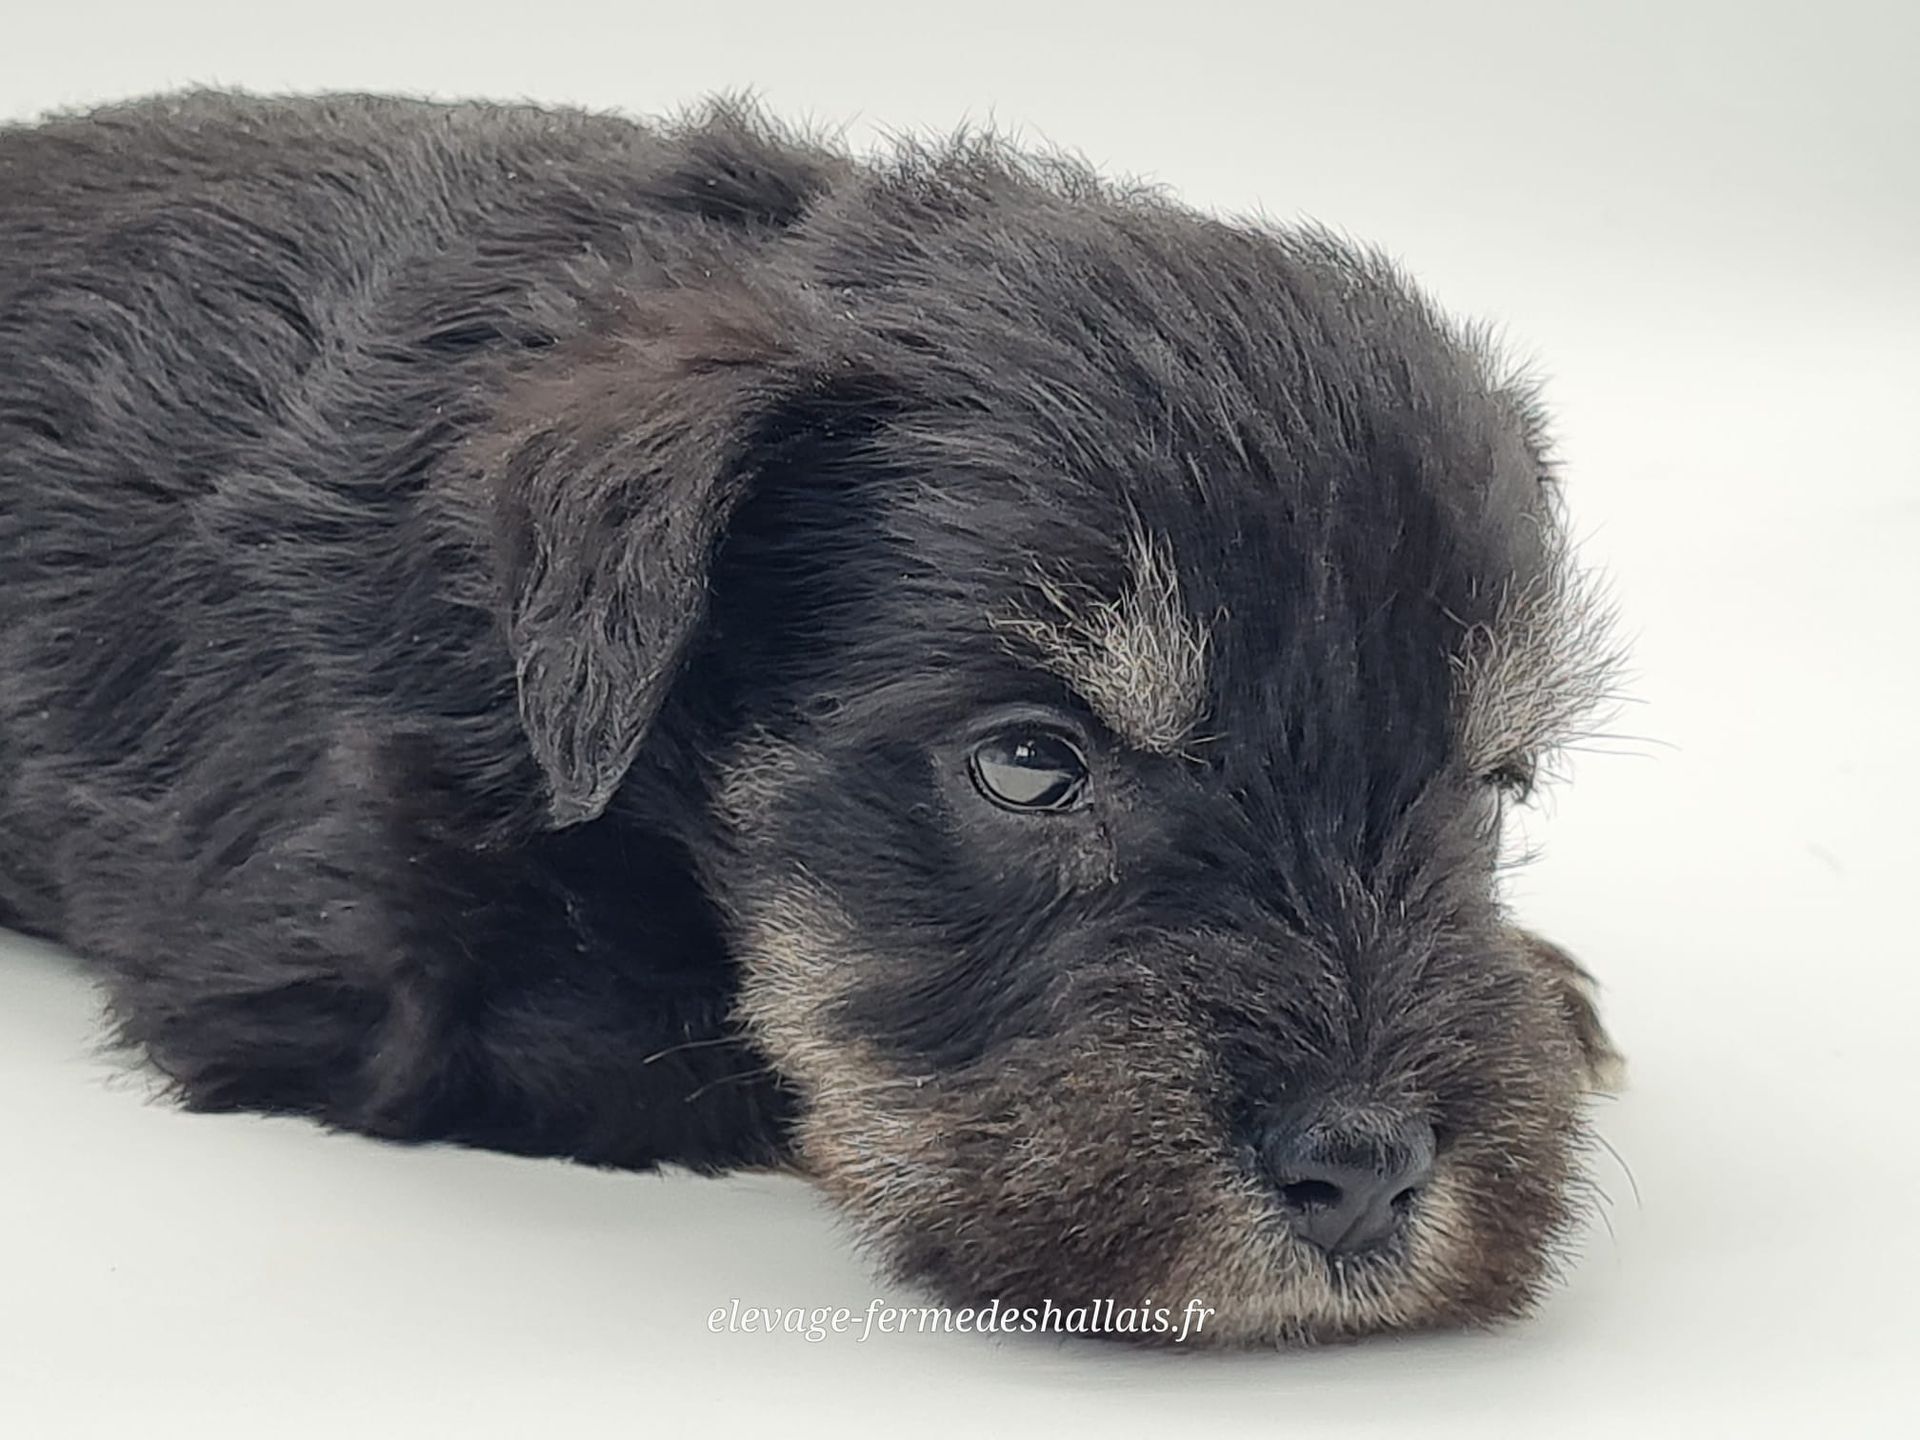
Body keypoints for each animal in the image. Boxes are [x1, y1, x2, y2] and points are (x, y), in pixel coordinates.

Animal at [0, 90, 1622, 1345]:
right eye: (1028, 763)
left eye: (1489, 787)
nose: (1366, 1172)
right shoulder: (365, 966)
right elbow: (720, 1050)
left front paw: (1553, 993)